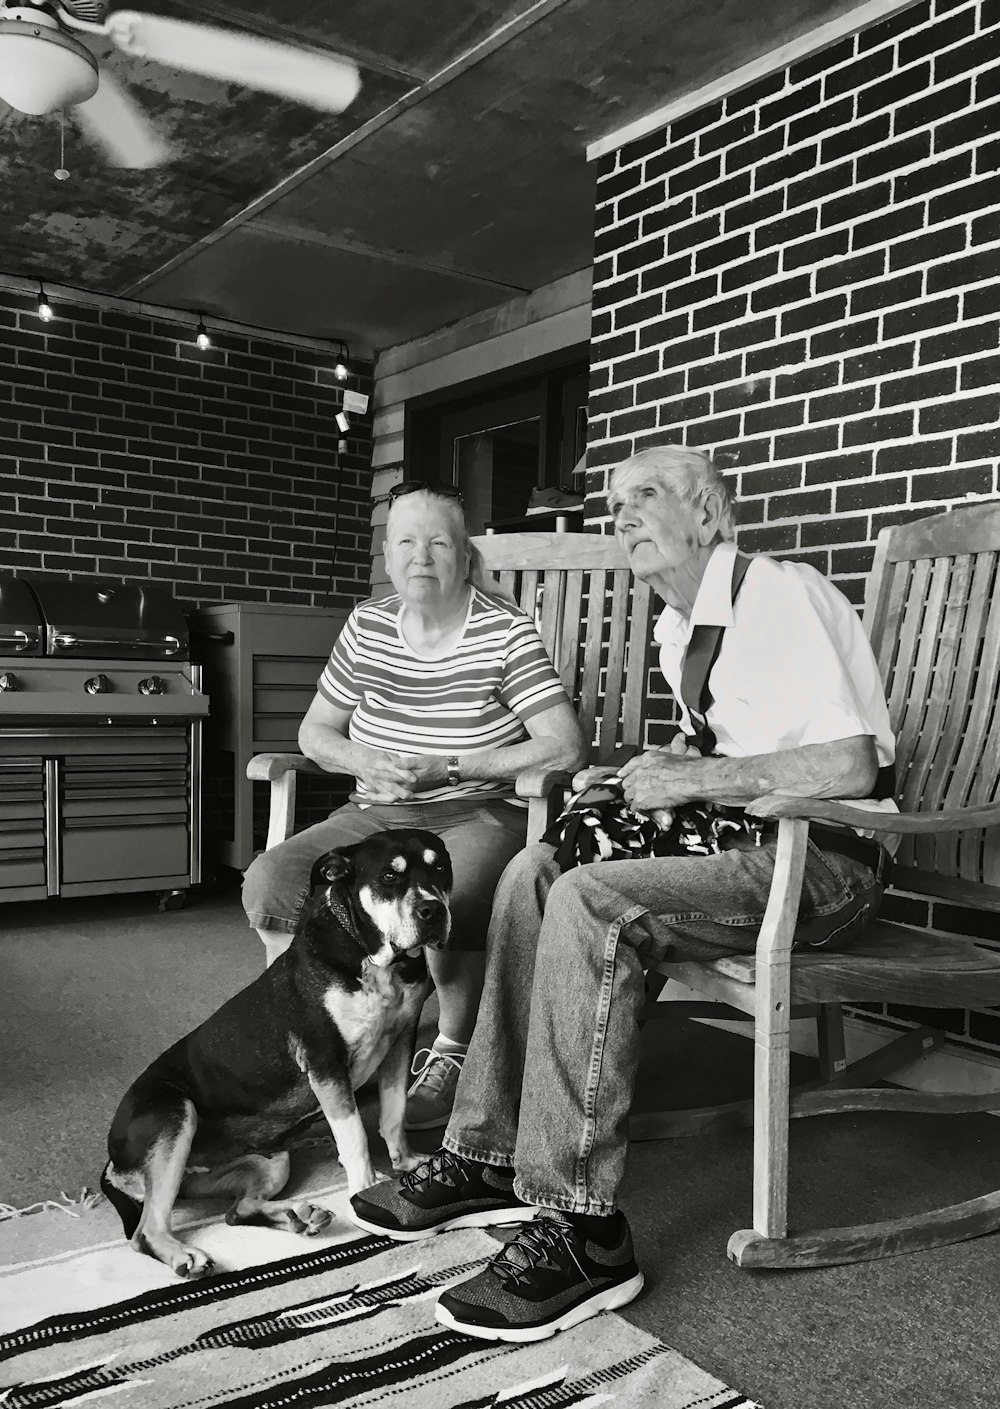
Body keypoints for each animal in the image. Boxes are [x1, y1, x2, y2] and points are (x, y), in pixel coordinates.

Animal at [100, 822, 453, 1279]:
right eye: (389, 877)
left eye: (441, 868)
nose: (433, 911)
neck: (374, 958)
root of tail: (112, 1164)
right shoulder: (325, 1062)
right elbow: (355, 1135)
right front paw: (366, 1188)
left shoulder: (399, 1041)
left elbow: (394, 1114)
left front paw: (406, 1163)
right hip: (173, 1117)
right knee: (146, 1231)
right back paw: (184, 1255)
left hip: (269, 1161)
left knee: (237, 1211)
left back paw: (297, 1216)